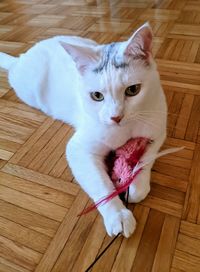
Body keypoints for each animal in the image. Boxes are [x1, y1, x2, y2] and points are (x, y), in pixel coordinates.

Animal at [0, 23, 167, 238]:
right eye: (97, 96)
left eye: (133, 90)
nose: (116, 117)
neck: (126, 129)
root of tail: (25, 54)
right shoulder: (78, 150)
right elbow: (101, 184)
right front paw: (117, 215)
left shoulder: (157, 132)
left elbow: (146, 159)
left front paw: (137, 186)